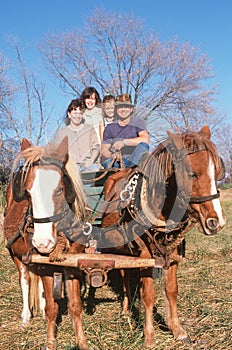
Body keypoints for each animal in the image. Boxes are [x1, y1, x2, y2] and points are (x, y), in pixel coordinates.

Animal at [3, 137, 90, 350]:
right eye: (27, 193)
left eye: (59, 190)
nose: (42, 243)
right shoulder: (43, 264)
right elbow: (52, 307)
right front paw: (50, 343)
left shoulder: (72, 264)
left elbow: (75, 306)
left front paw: (82, 342)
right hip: (16, 255)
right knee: (25, 280)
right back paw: (26, 317)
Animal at [100, 126, 226, 348]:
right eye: (192, 173)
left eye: (217, 173)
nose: (216, 222)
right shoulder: (144, 255)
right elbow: (148, 295)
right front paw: (149, 335)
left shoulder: (172, 252)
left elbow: (172, 290)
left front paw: (178, 330)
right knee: (124, 275)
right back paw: (125, 308)